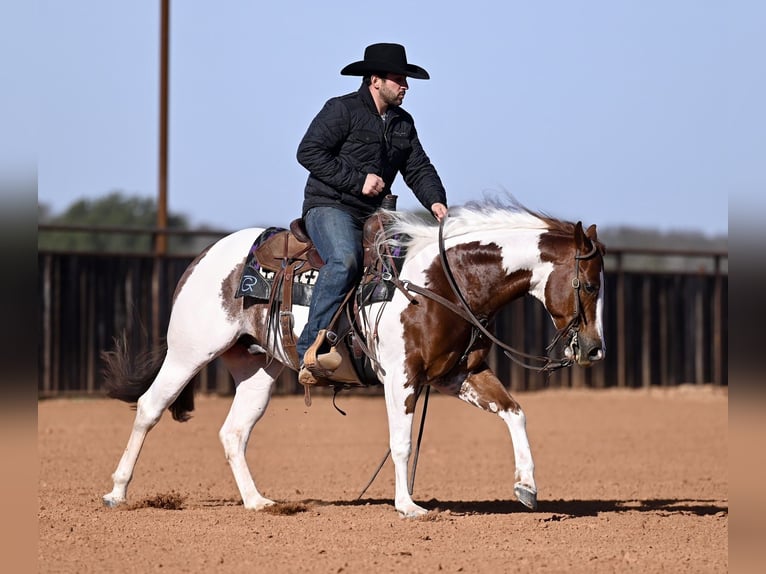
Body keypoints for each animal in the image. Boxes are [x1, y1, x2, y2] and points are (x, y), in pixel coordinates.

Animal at [101, 198, 606, 518]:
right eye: (588, 284)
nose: (594, 348)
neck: (444, 282)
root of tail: (204, 256)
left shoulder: (459, 375)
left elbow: (515, 412)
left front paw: (526, 487)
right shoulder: (401, 378)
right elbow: (401, 443)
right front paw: (408, 506)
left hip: (257, 370)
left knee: (233, 432)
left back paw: (258, 502)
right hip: (188, 352)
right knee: (149, 408)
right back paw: (117, 492)